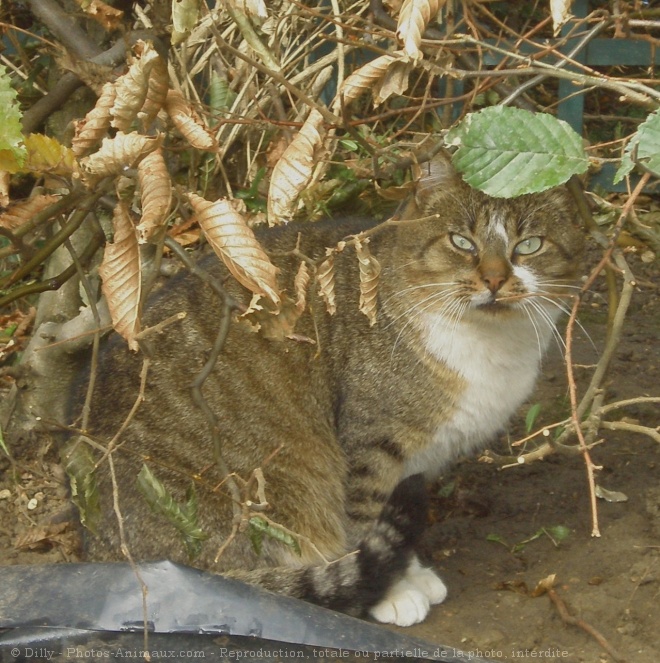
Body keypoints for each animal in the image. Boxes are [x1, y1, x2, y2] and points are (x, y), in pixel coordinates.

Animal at [68, 154, 584, 628]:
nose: (495, 280)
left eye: (529, 245)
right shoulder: (372, 442)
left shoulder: (413, 464)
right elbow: (365, 520)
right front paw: (394, 592)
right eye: (462, 242)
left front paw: (411, 571)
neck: (488, 341)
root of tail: (112, 554)